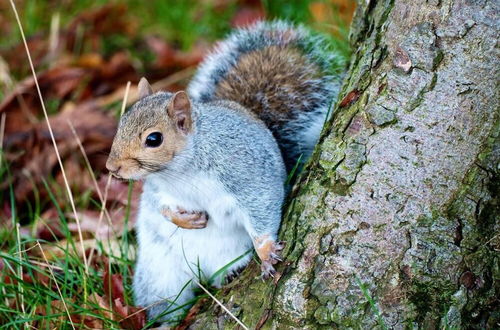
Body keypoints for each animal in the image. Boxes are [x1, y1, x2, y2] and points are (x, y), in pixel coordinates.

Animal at [105, 21, 340, 324]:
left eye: (154, 139)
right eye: (122, 122)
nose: (112, 167)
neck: (181, 171)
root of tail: (200, 272)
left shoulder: (246, 174)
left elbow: (263, 205)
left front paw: (266, 252)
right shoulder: (157, 188)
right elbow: (162, 207)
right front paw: (185, 220)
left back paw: (231, 273)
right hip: (160, 276)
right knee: (166, 304)